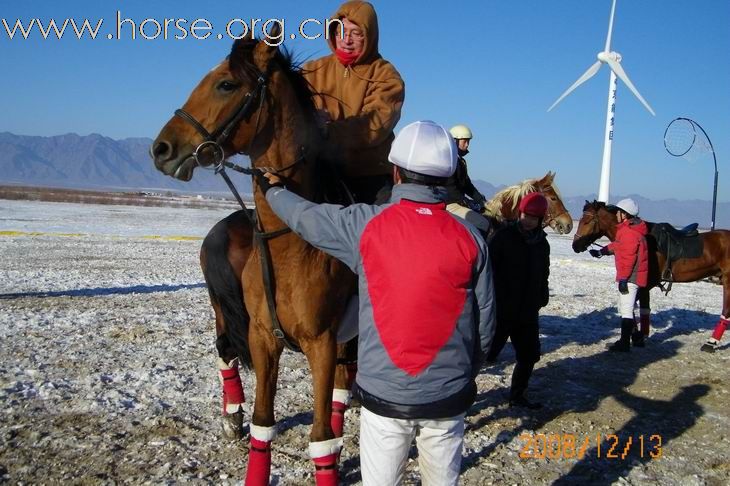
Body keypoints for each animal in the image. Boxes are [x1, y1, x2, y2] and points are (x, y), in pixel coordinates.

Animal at [152, 37, 356, 482]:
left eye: (226, 84)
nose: (161, 149)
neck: (292, 242)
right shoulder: (263, 338)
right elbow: (264, 423)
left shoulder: (322, 343)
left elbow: (320, 437)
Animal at [572, 201, 730, 354]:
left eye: (587, 221)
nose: (575, 245)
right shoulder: (644, 287)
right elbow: (643, 310)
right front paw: (638, 337)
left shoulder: (644, 284)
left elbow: (630, 308)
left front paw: (634, 337)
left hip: (727, 280)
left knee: (726, 311)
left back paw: (710, 342)